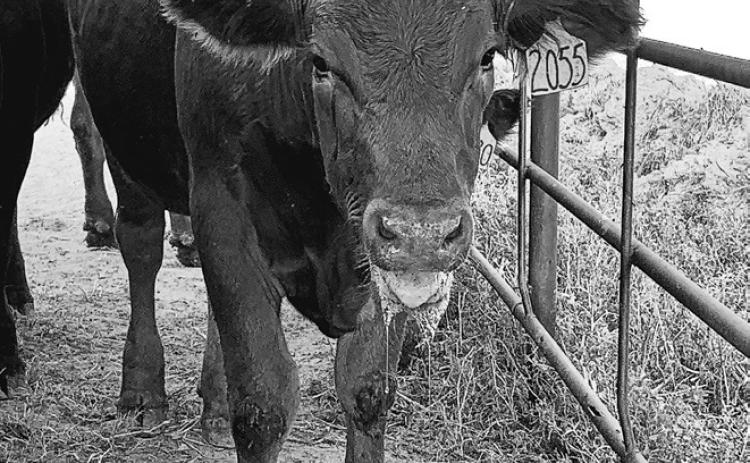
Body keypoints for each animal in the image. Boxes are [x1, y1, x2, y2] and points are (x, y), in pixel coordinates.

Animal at [70, 0, 640, 461]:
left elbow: (367, 390)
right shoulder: (221, 212)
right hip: (124, 150)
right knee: (141, 249)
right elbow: (262, 404)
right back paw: (142, 391)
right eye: (320, 61)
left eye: (486, 57)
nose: (420, 233)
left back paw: (213, 401)